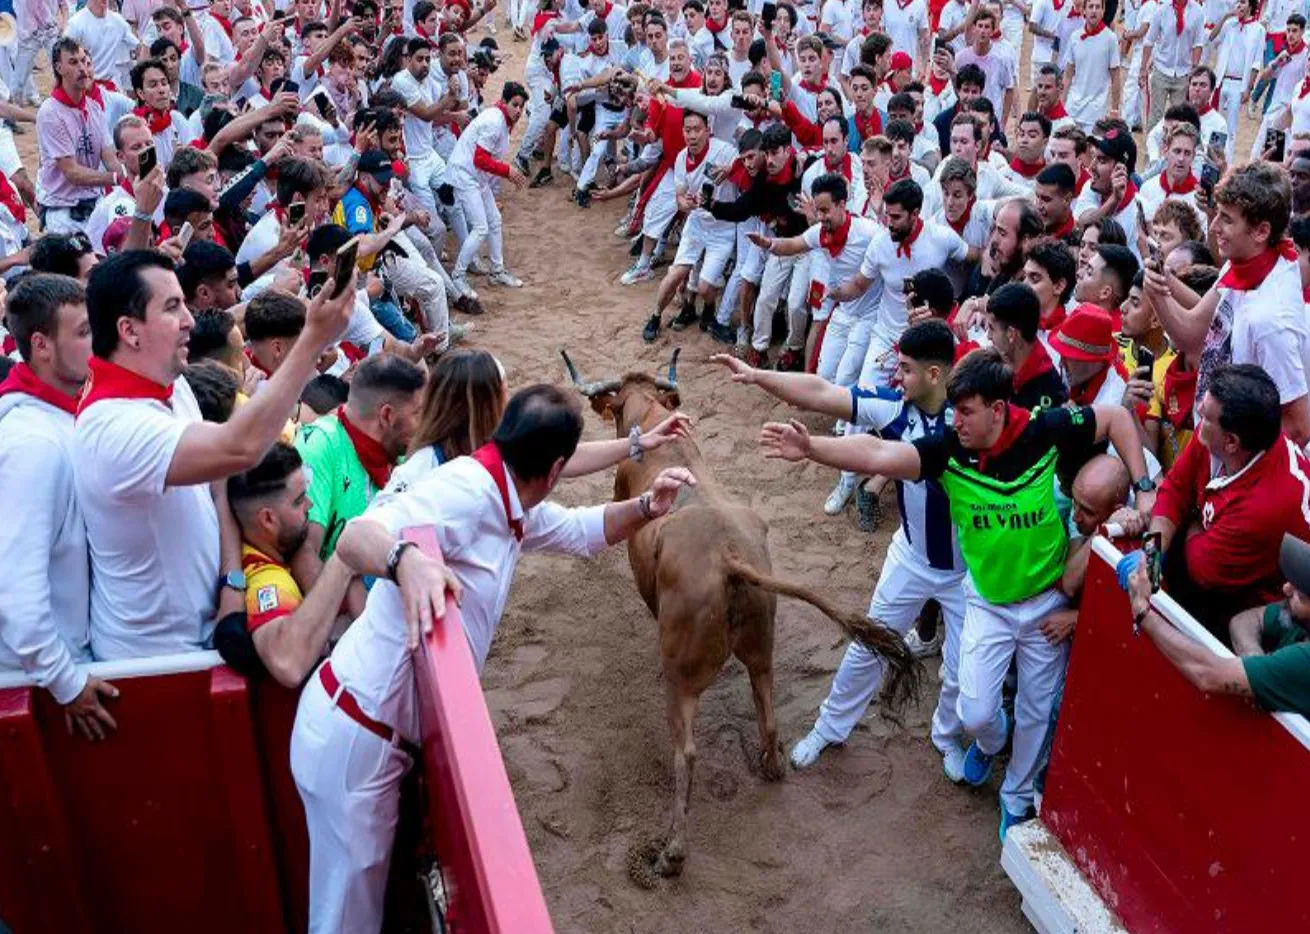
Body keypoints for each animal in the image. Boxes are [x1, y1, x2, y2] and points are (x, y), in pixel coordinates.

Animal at [563, 348, 922, 875]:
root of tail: (730, 559)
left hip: (682, 678)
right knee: (767, 716)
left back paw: (672, 852)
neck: (652, 418)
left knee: (686, 752)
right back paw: (772, 768)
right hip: (761, 653)